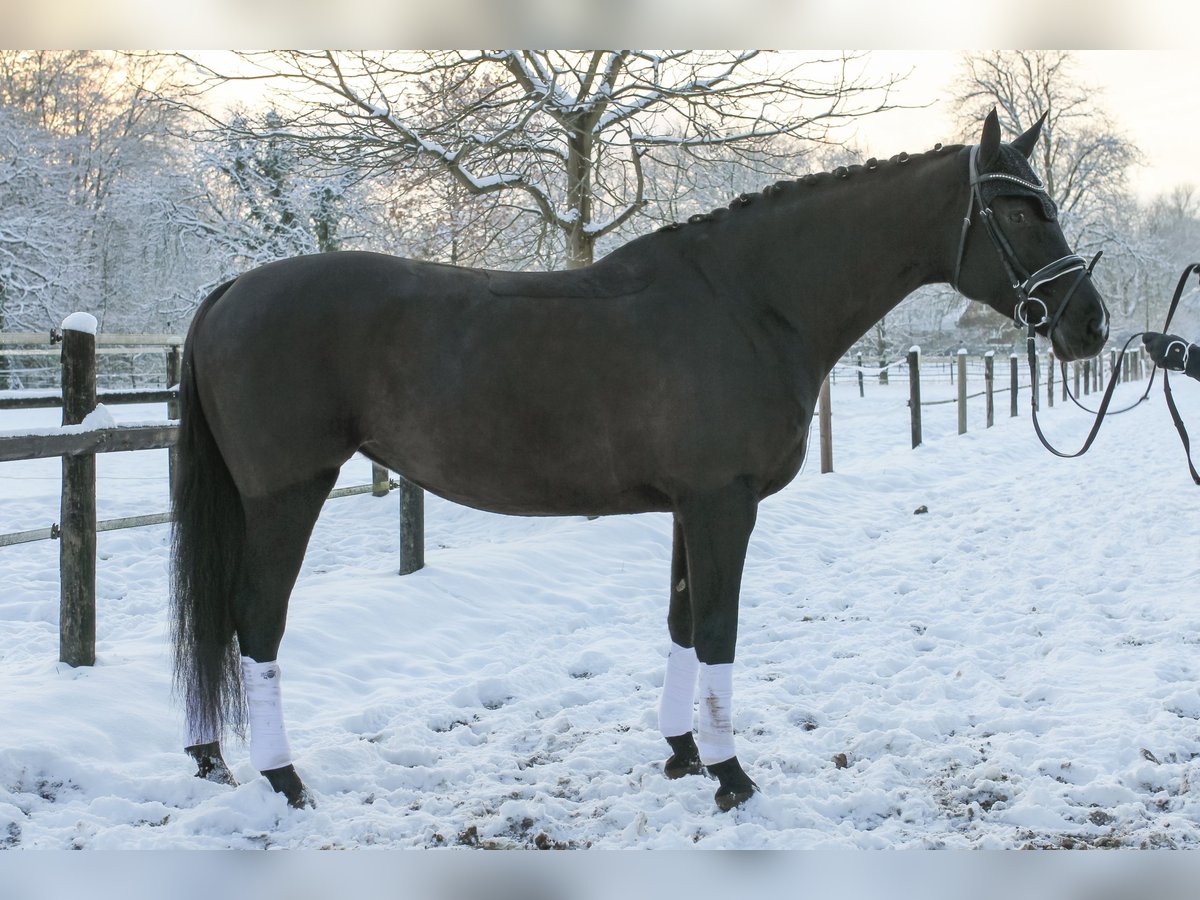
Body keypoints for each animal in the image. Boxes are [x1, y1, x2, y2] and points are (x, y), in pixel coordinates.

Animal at [169, 109, 1104, 816]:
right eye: (1018, 210)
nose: (1088, 323)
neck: (751, 302)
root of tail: (229, 292)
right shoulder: (724, 504)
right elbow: (720, 629)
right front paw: (731, 777)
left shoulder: (692, 507)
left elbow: (683, 624)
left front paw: (684, 753)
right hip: (287, 495)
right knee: (255, 620)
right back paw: (284, 779)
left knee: (219, 620)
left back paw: (214, 758)